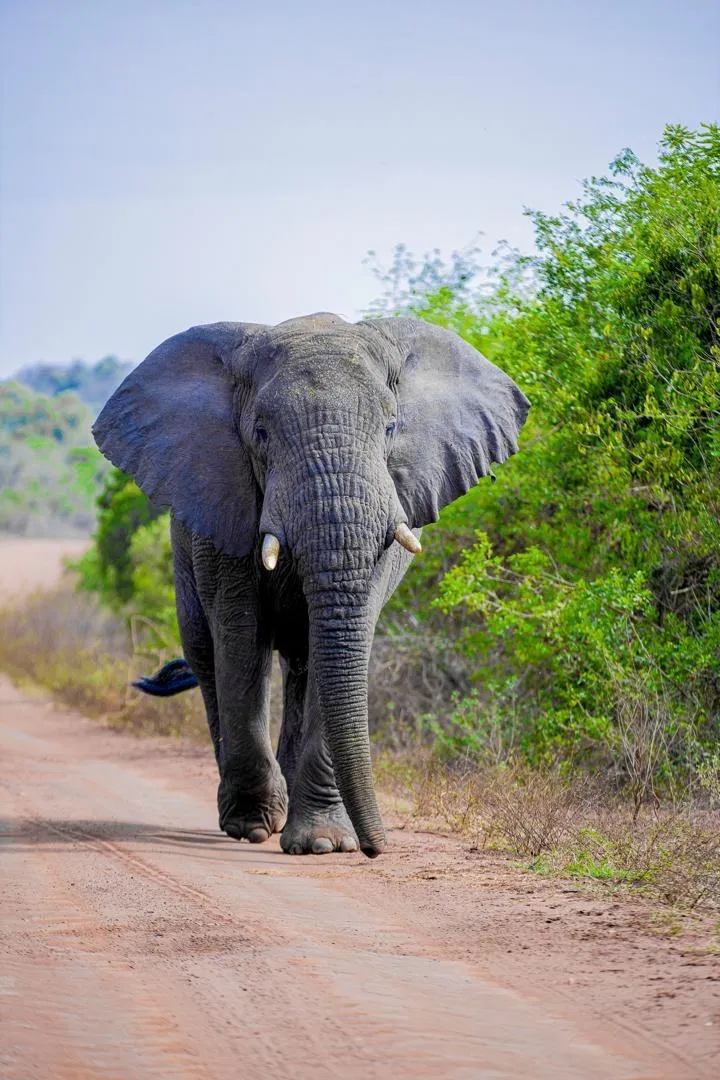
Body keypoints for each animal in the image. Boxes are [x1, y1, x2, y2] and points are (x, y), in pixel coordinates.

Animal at [93, 313, 529, 857]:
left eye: (390, 428)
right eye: (260, 433)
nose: (377, 849)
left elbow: (341, 641)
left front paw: (325, 844)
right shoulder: (226, 504)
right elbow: (241, 639)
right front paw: (255, 827)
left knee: (302, 663)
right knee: (207, 657)